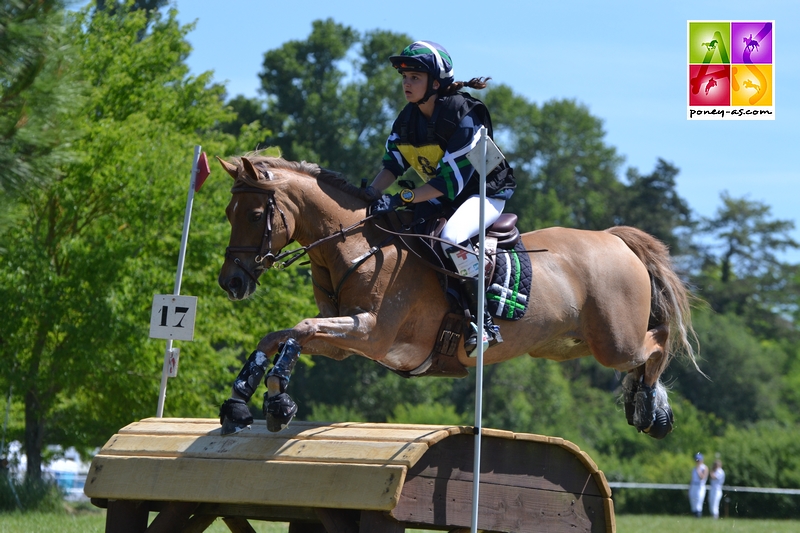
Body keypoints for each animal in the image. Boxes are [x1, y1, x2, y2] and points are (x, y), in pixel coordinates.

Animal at [216, 154, 696, 440]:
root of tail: (614, 238)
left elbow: (298, 330)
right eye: (227, 212)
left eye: (255, 215)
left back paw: (650, 406)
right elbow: (279, 336)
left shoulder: (370, 333)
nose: (230, 283)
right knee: (642, 354)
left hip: (614, 340)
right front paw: (241, 401)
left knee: (658, 341)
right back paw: (648, 405)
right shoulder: (346, 344)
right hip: (567, 345)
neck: (355, 246)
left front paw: (277, 398)